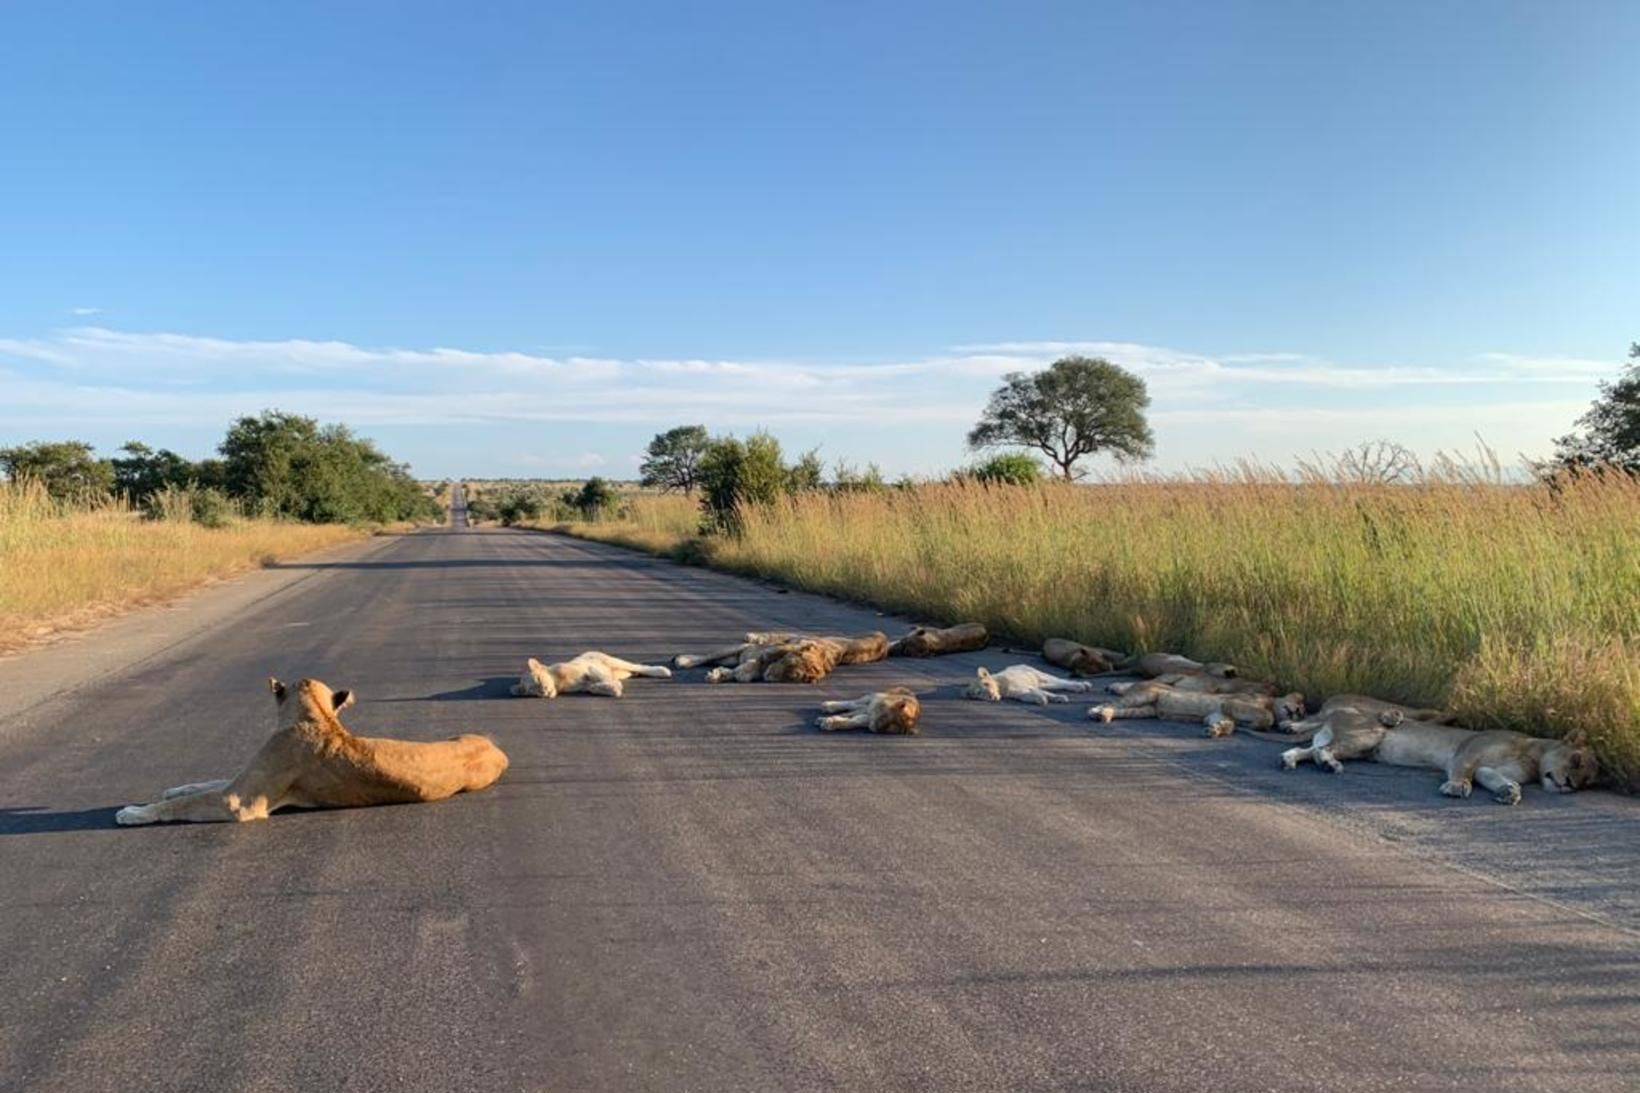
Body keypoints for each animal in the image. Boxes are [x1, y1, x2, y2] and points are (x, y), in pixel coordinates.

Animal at [116, 672, 508, 827]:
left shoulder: (240, 802)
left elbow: (184, 803)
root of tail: (496, 748)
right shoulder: (241, 782)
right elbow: (202, 784)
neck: (317, 716)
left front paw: (132, 812)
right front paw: (173, 787)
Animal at [508, 646, 669, 699]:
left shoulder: (587, 667)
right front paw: (600, 687)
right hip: (621, 671)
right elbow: (593, 687)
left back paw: (663, 671)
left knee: (639, 666)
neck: (559, 683)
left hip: (612, 661)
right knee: (631, 671)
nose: (543, 691)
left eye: (538, 680)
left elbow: (601, 678)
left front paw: (612, 686)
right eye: (532, 691)